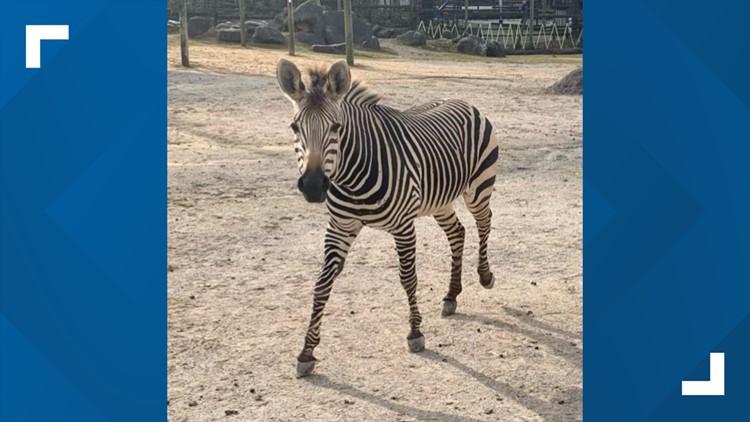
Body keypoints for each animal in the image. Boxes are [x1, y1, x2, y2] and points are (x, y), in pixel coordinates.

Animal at [276, 59, 499, 377]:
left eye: (336, 127)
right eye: (295, 127)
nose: (314, 186)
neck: (351, 178)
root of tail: (461, 100)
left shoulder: (403, 227)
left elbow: (408, 278)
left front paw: (415, 333)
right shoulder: (339, 227)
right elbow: (321, 283)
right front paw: (307, 352)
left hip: (479, 187)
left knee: (484, 222)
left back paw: (485, 275)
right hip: (440, 199)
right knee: (458, 232)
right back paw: (451, 296)